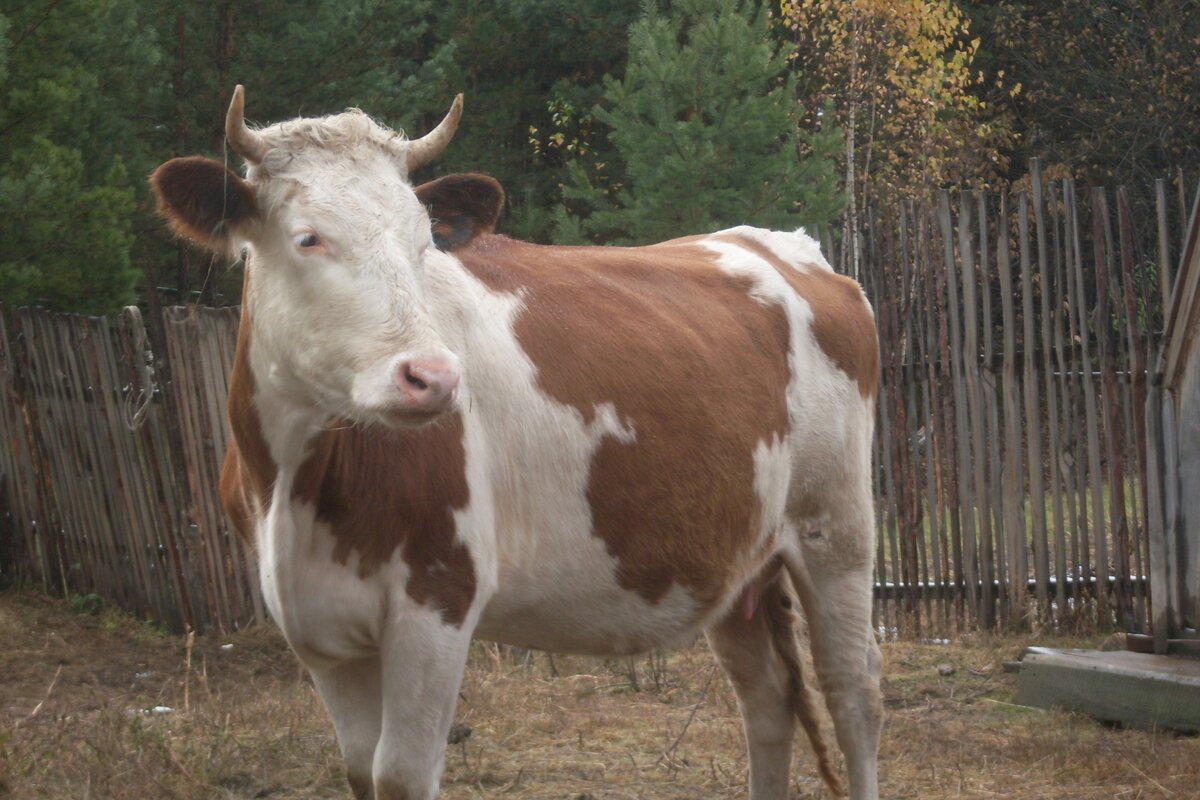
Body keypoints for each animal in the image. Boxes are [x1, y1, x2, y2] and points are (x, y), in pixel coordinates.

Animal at [147, 87, 883, 800]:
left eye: (424, 242)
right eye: (308, 238)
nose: (433, 377)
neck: (297, 486)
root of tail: (780, 243)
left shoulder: (438, 598)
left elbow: (400, 775)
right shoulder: (318, 629)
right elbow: (359, 770)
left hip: (836, 530)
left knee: (853, 696)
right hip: (735, 560)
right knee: (766, 700)